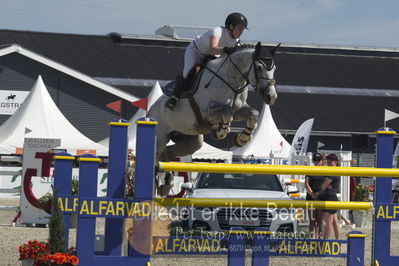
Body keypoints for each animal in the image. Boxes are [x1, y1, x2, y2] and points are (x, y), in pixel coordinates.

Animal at [149, 41, 278, 195]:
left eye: (274, 68)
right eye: (259, 67)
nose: (271, 97)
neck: (232, 80)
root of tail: (150, 110)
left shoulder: (239, 110)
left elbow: (254, 113)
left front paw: (242, 138)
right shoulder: (207, 112)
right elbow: (227, 111)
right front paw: (222, 131)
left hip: (191, 140)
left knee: (167, 155)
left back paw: (166, 185)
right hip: (160, 138)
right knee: (157, 157)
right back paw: (161, 185)